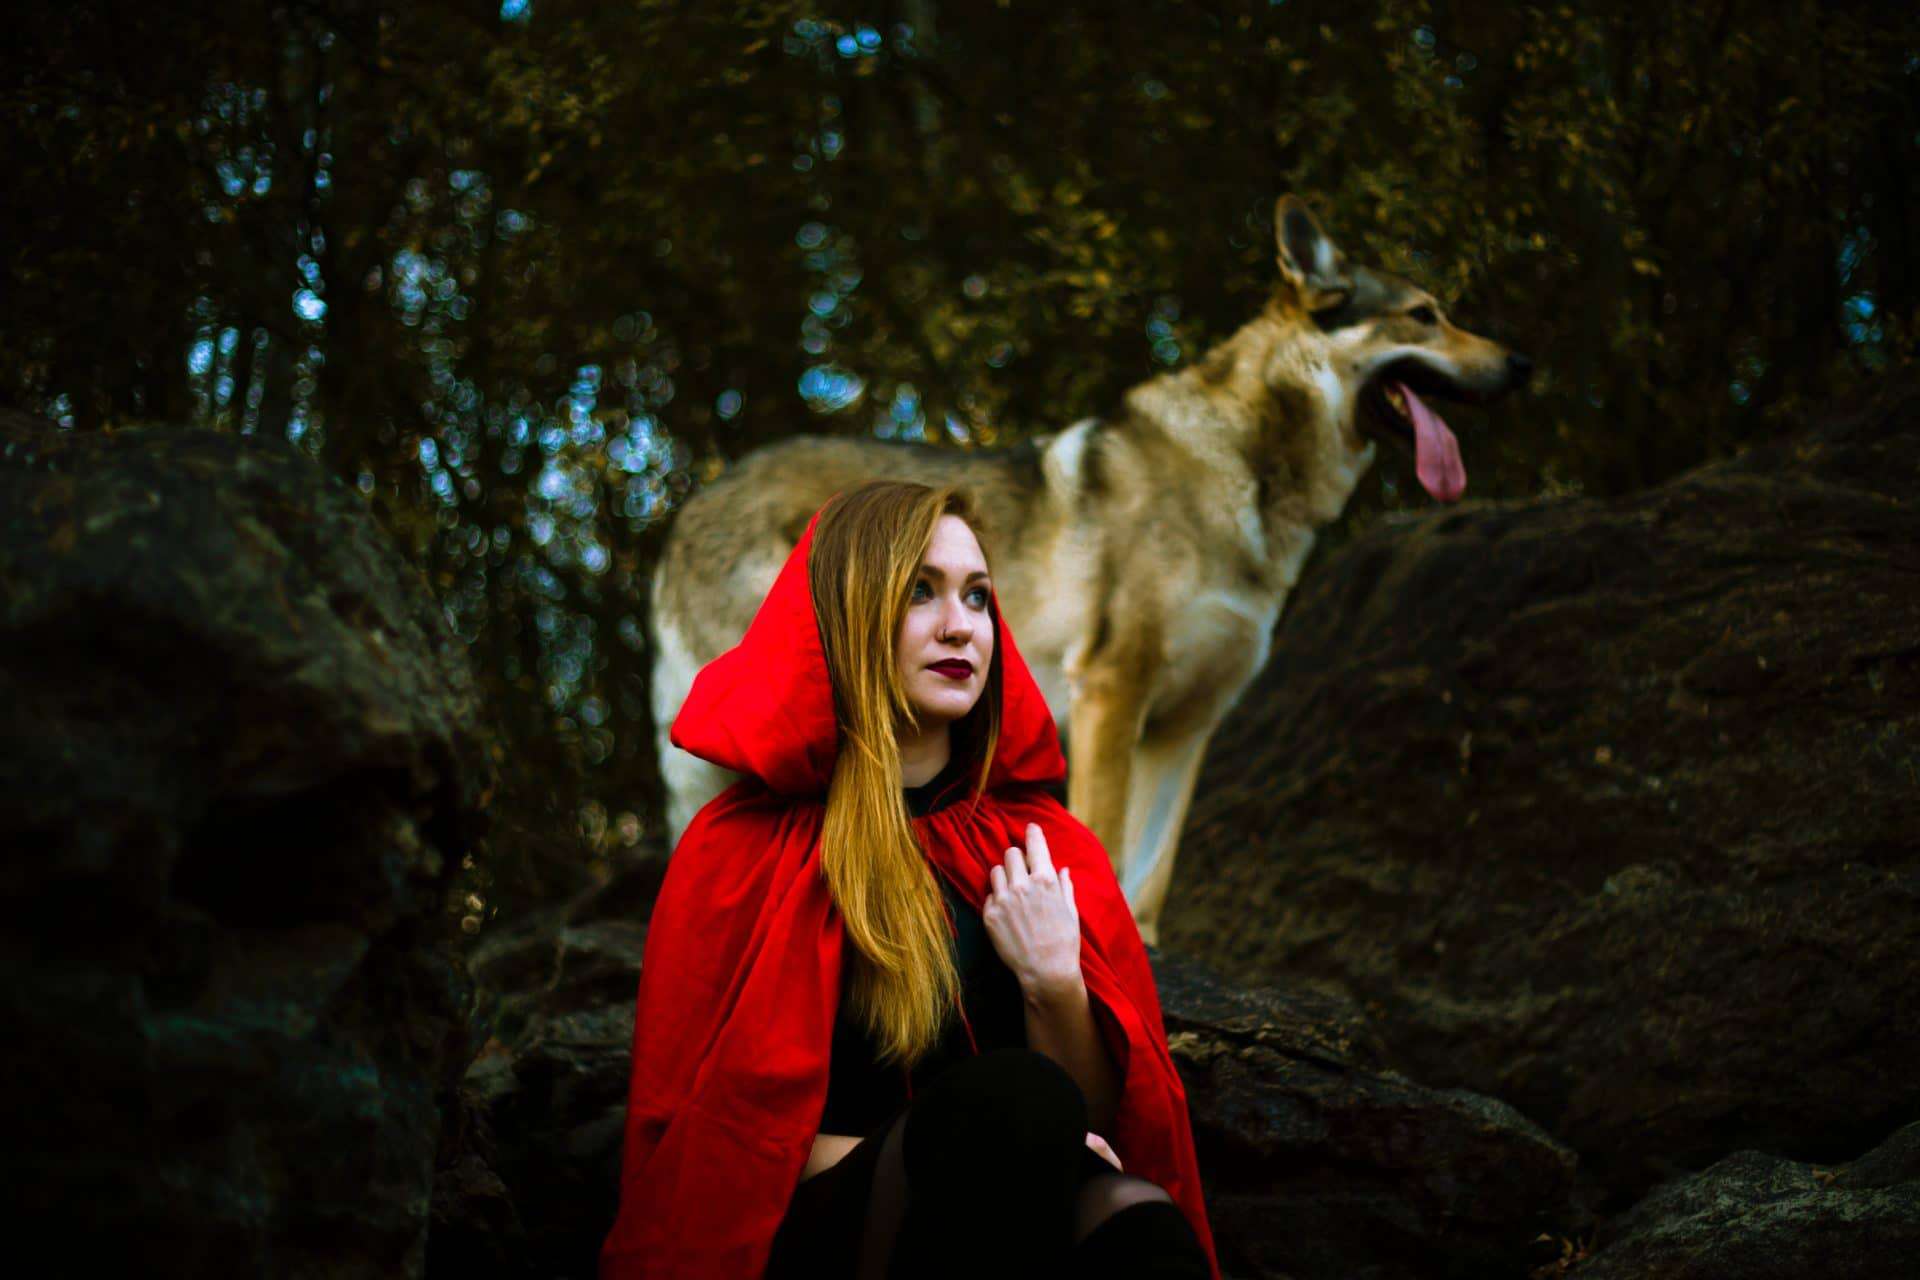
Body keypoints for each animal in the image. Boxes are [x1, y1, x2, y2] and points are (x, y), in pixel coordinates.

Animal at [645, 195, 1528, 948]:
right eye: (1424, 314)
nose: (1520, 364)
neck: (1244, 474)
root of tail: (689, 509)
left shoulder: (1189, 723)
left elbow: (1153, 871)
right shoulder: (1114, 686)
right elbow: (1103, 835)